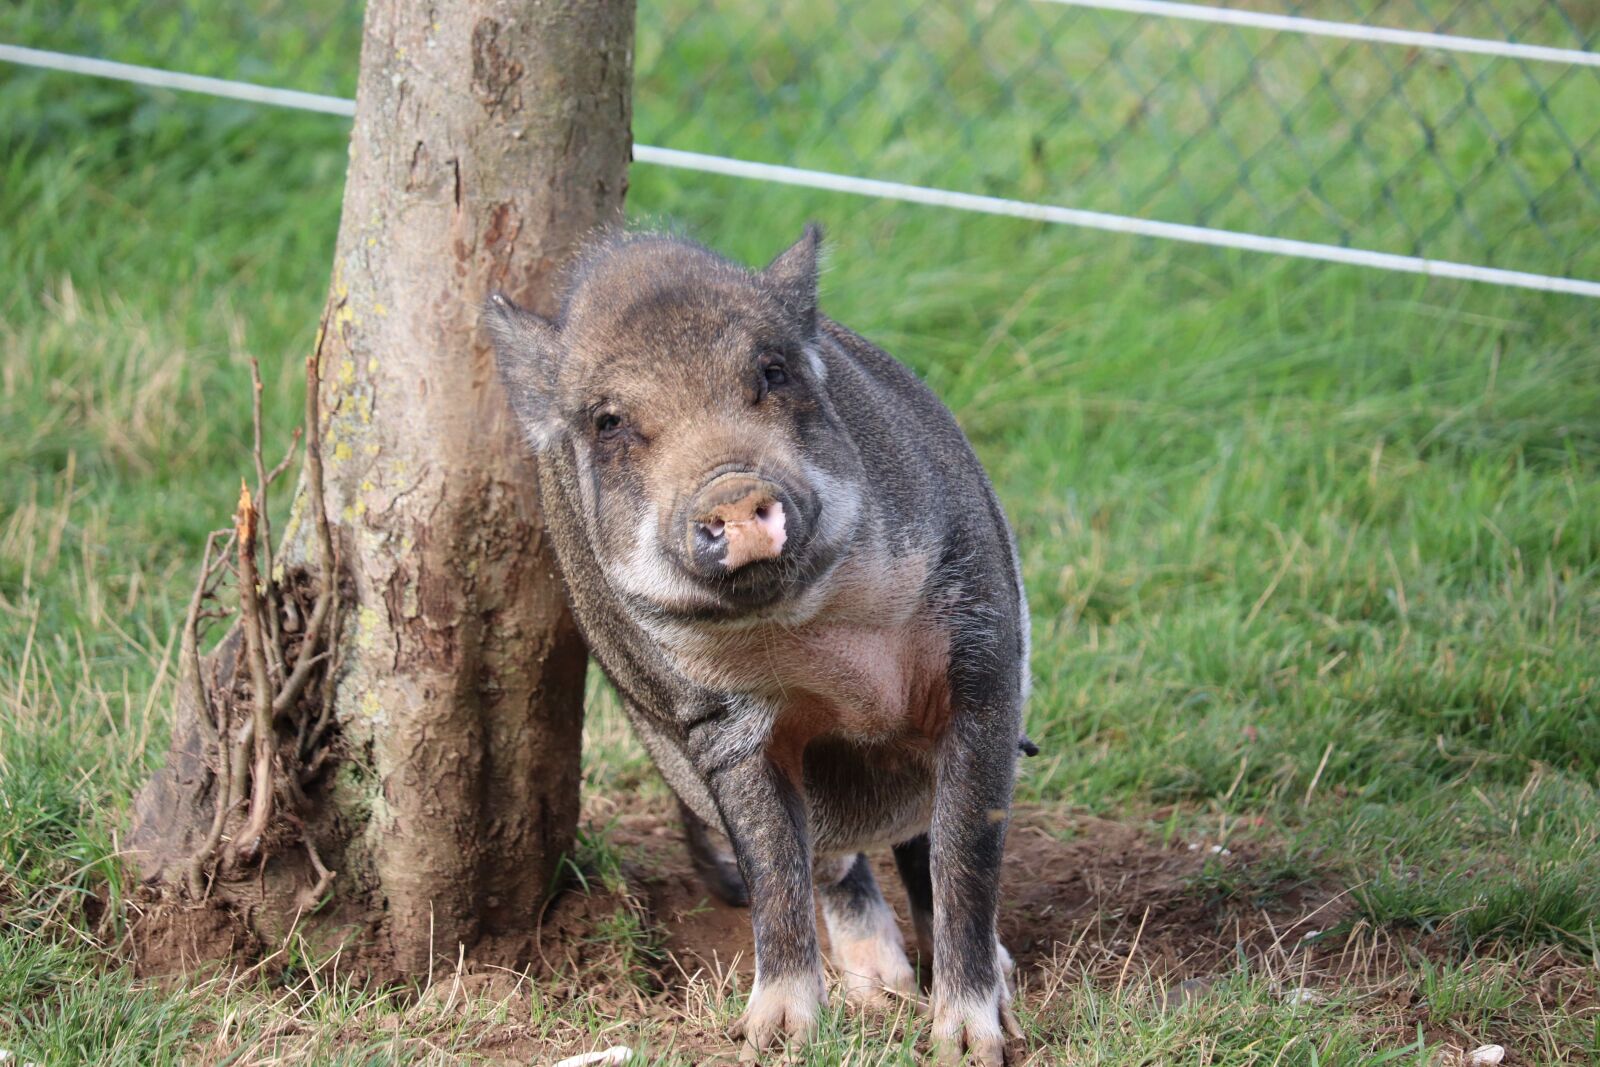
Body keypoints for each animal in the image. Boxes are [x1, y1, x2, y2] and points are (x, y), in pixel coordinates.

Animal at [485, 226, 1029, 1064]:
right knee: (832, 859)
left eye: (771, 371)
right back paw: (881, 991)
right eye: (609, 420)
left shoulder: (984, 654)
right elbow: (774, 863)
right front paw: (773, 1037)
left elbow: (965, 853)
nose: (733, 491)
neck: (829, 658)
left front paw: (971, 1044)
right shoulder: (721, 730)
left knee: (916, 845)